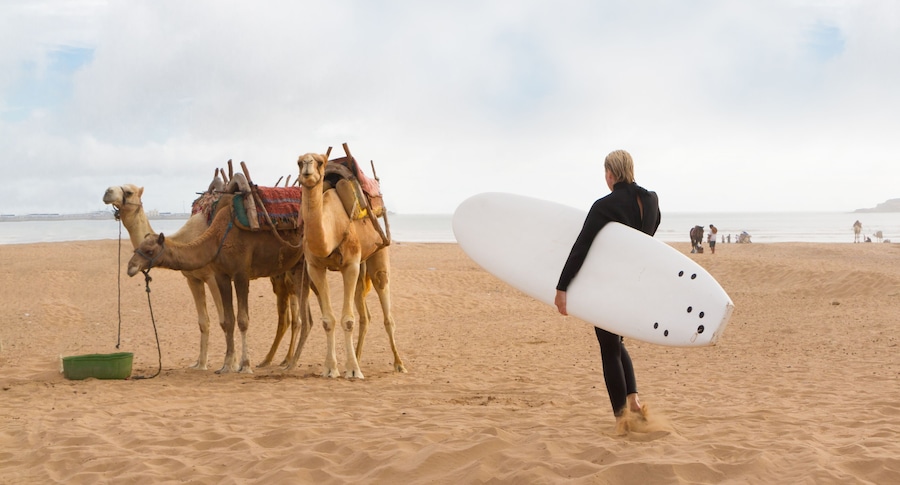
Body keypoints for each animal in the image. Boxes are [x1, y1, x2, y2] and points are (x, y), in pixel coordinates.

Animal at [103, 183, 306, 370]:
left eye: (128, 191)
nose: (107, 192)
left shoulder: (218, 276)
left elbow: (228, 320)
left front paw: (234, 364)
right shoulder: (194, 279)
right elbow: (205, 322)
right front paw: (201, 364)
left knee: (290, 319)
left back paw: (282, 361)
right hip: (287, 273)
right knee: (293, 319)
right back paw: (280, 360)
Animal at [289, 152, 402, 379]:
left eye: (319, 162)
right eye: (298, 162)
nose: (307, 168)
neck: (331, 228)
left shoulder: (350, 265)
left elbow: (348, 320)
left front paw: (352, 371)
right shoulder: (315, 268)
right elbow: (327, 320)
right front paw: (330, 369)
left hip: (379, 252)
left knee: (386, 309)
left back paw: (399, 364)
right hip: (361, 267)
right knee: (365, 315)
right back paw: (358, 358)